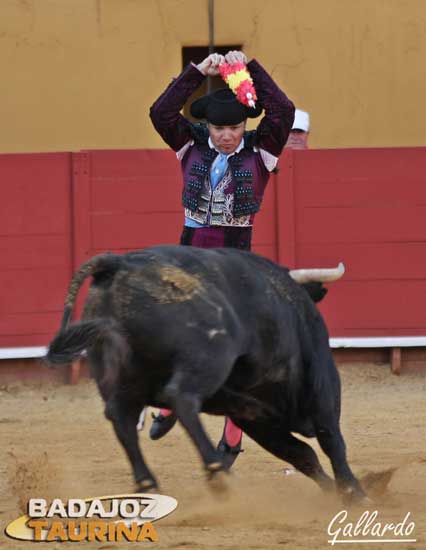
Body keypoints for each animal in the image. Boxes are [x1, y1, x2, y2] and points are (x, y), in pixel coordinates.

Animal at [45, 246, 366, 504]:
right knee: (181, 398)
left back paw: (148, 484)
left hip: (118, 374)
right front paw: (354, 492)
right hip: (210, 356)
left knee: (120, 416)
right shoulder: (322, 389)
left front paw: (333, 490)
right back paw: (217, 473)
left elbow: (302, 454)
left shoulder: (254, 417)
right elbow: (331, 441)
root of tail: (119, 262)